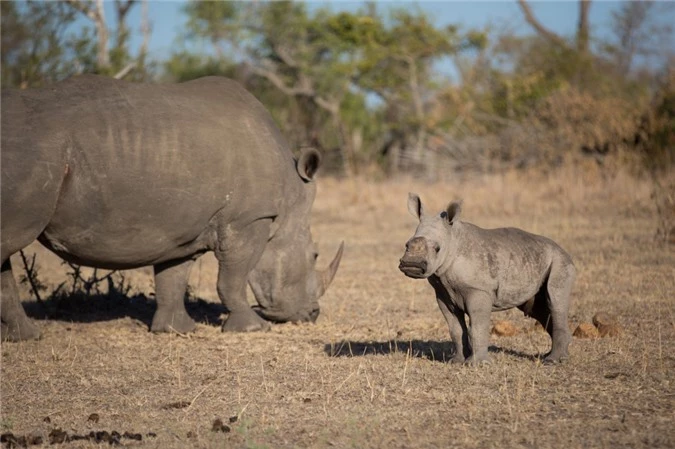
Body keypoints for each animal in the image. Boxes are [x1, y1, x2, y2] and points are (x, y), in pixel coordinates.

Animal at [1, 74, 344, 340]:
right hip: (32, 153)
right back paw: (30, 336)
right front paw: (254, 329)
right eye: (314, 256)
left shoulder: (180, 228)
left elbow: (174, 276)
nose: (313, 314)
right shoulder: (249, 219)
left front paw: (176, 330)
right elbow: (232, 277)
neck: (287, 202)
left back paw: (22, 337)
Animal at [398, 193, 580, 364]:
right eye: (407, 244)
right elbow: (455, 327)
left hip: (560, 262)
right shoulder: (443, 292)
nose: (412, 264)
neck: (452, 239)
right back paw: (547, 356)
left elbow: (477, 326)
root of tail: (564, 251)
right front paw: (456, 361)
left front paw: (476, 364)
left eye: (437, 249)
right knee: (540, 309)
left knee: (555, 302)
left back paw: (553, 361)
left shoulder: (478, 289)